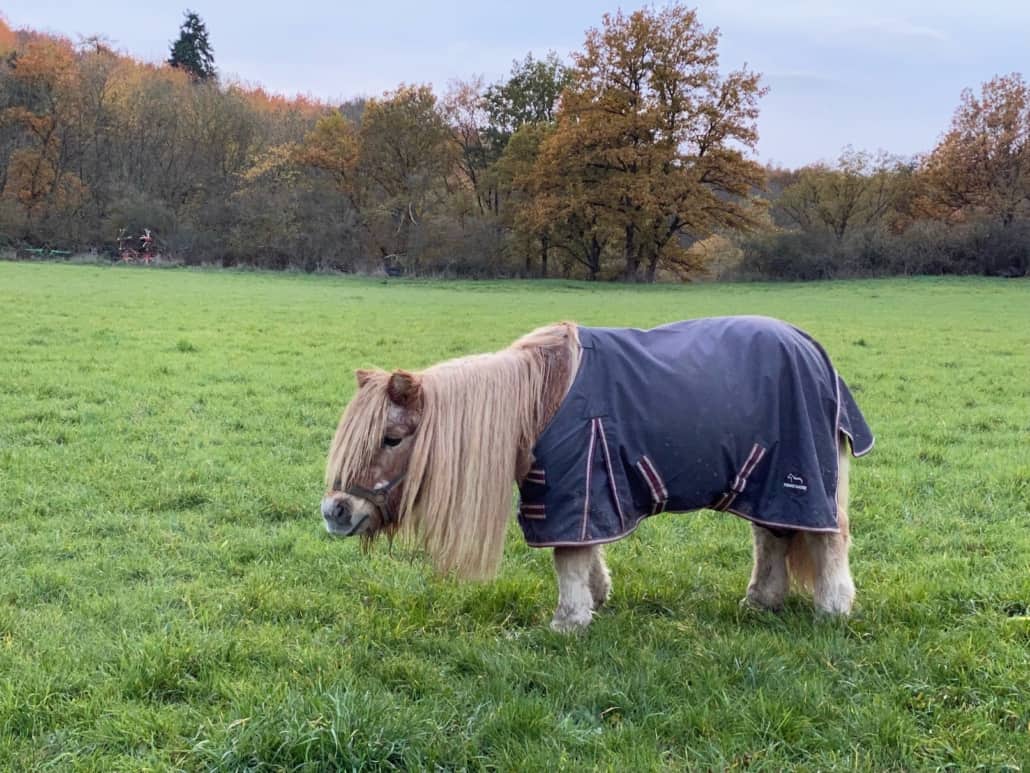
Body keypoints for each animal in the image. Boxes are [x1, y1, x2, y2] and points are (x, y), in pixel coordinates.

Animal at [319, 317, 869, 630]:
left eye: (392, 438)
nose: (334, 511)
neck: (540, 400)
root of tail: (814, 351)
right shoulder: (587, 492)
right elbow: (588, 552)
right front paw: (596, 598)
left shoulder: (572, 489)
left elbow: (568, 558)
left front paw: (569, 620)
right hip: (767, 483)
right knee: (772, 535)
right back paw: (761, 601)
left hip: (805, 478)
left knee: (828, 538)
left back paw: (833, 609)